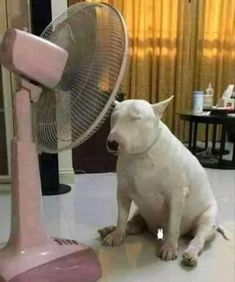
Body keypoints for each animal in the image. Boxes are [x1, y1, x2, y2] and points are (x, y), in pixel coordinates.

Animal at [98, 97, 229, 266]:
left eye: (135, 118)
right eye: (114, 118)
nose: (112, 143)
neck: (140, 156)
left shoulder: (177, 195)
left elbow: (173, 225)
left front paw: (169, 248)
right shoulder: (122, 191)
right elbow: (121, 217)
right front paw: (116, 235)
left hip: (207, 218)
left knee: (198, 238)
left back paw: (190, 254)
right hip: (140, 211)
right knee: (133, 225)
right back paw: (110, 230)